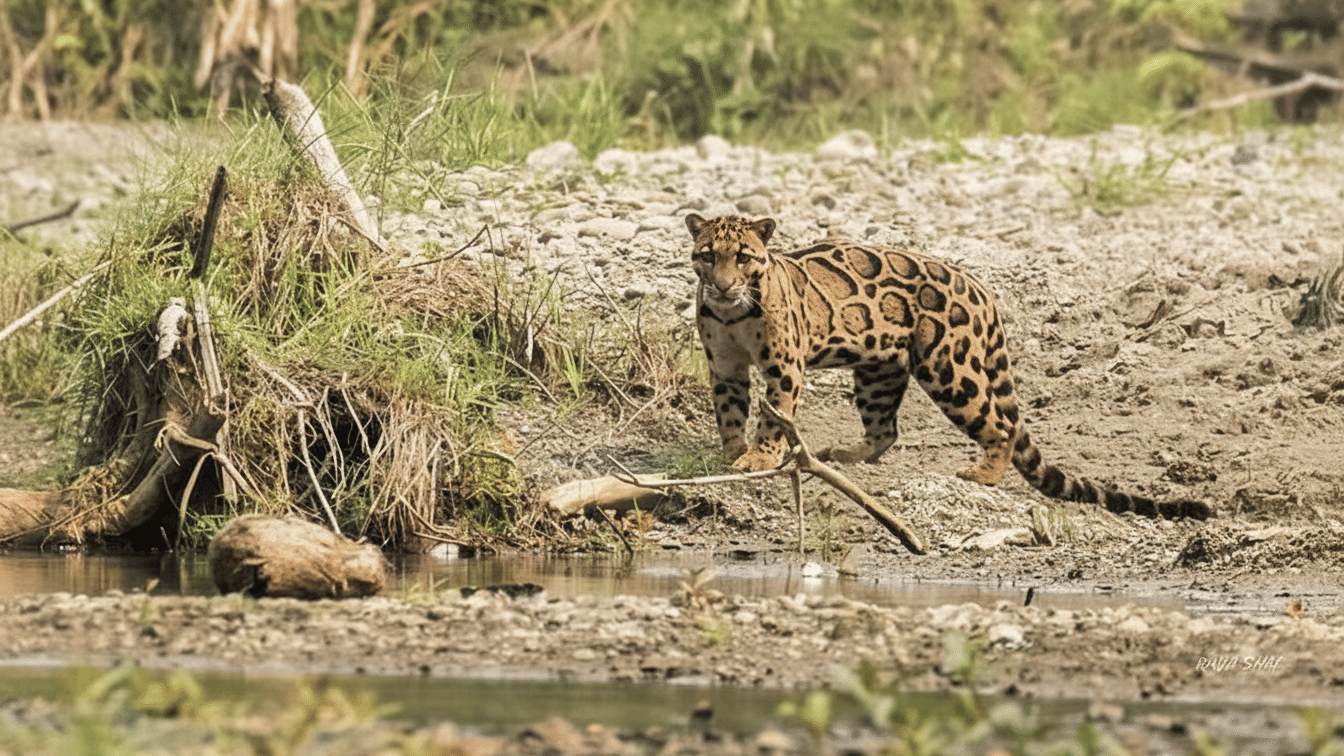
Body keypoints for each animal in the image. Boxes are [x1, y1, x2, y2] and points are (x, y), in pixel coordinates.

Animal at [685, 212, 1212, 521]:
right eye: (708, 256)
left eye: (744, 257)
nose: (724, 286)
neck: (733, 314)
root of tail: (980, 287)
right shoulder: (724, 366)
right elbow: (729, 413)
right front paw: (732, 453)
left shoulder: (783, 364)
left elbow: (773, 417)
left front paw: (757, 457)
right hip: (879, 371)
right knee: (886, 430)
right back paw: (847, 455)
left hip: (949, 369)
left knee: (1000, 426)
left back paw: (982, 474)